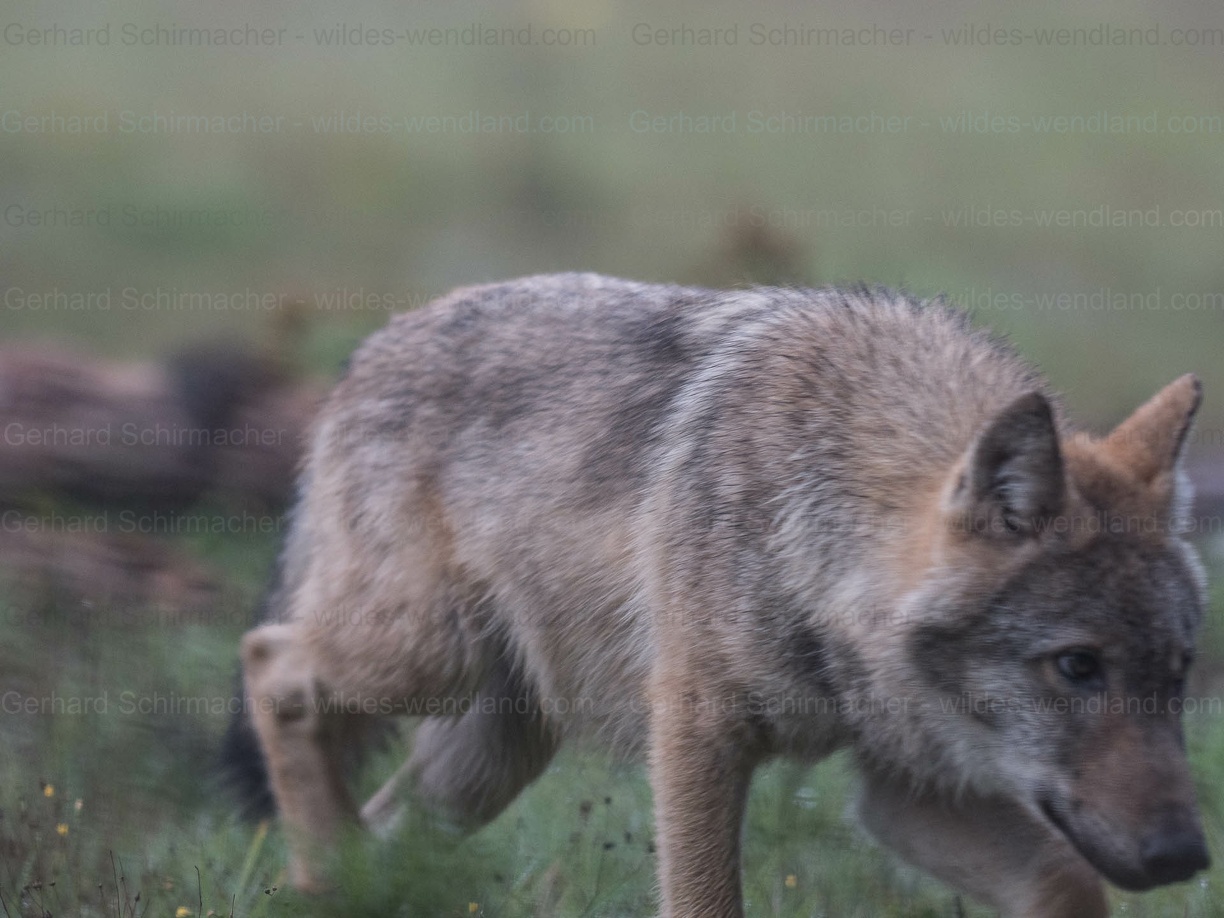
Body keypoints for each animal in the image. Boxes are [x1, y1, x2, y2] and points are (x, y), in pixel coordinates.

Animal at [227, 273, 1210, 917]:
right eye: (1076, 667)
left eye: (1179, 670)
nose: (1186, 856)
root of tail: (366, 349)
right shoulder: (696, 736)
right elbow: (705, 900)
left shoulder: (904, 787)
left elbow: (1064, 879)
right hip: (427, 660)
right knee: (269, 658)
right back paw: (322, 868)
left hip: (492, 754)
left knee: (386, 822)